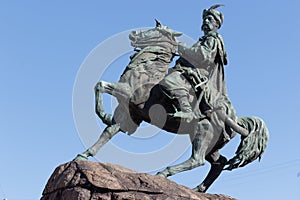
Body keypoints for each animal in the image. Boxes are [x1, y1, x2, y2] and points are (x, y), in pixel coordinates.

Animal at [74, 20, 268, 192]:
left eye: (155, 29)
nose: (133, 33)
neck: (147, 68)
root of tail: (233, 117)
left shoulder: (127, 92)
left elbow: (100, 85)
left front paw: (102, 115)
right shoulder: (129, 113)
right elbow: (108, 132)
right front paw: (85, 153)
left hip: (204, 131)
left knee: (197, 160)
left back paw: (164, 173)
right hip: (210, 142)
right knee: (219, 162)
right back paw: (198, 189)